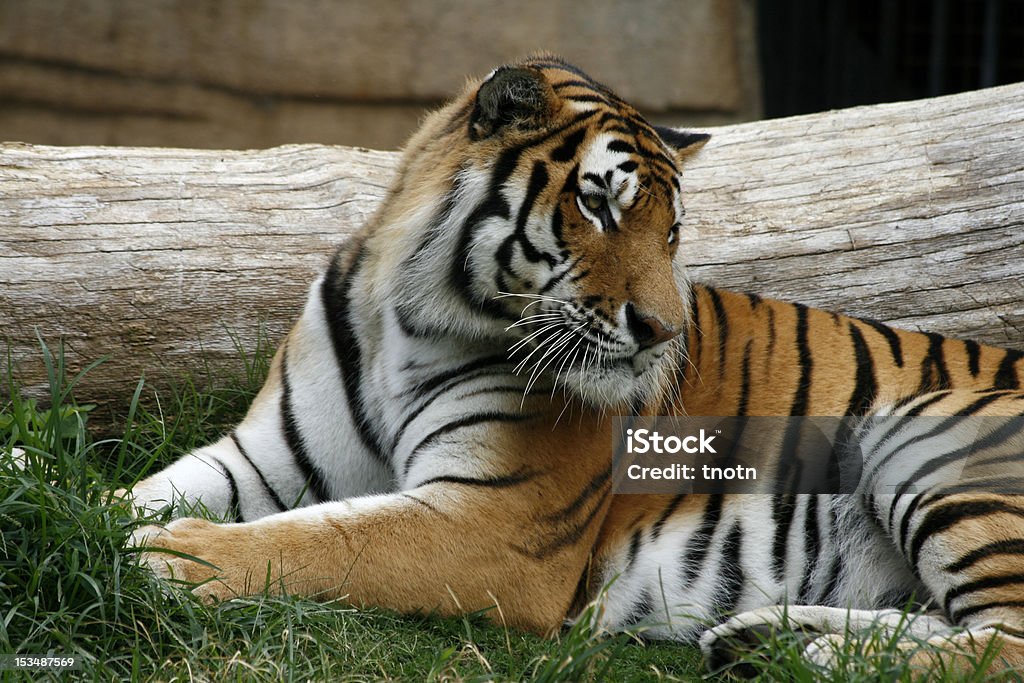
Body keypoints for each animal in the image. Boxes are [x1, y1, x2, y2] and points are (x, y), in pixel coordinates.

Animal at [128, 56, 1024, 675]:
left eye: (672, 229)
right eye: (598, 206)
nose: (663, 331)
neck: (404, 322)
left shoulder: (494, 520)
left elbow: (329, 540)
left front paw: (170, 556)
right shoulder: (266, 455)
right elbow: (149, 490)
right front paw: (101, 520)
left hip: (928, 438)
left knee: (1004, 643)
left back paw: (815, 658)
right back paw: (766, 640)